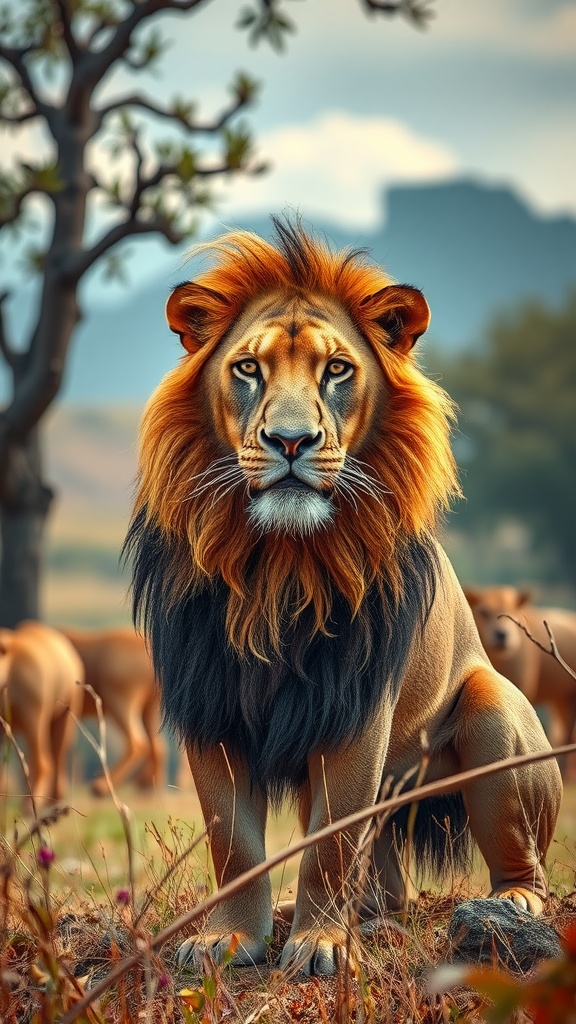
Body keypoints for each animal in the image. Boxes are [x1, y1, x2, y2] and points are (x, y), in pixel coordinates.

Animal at [61, 627, 166, 795]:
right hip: (149, 707)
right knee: (157, 746)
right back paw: (148, 786)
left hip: (120, 701)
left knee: (137, 745)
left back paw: (102, 786)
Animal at [125, 218, 561, 975]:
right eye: (248, 369)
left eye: (336, 370)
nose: (290, 440)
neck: (278, 566)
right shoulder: (209, 696)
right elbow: (233, 841)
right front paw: (229, 938)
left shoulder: (356, 702)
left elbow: (330, 842)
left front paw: (321, 947)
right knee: (386, 887)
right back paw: (343, 915)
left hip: (492, 710)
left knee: (522, 865)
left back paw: (507, 909)